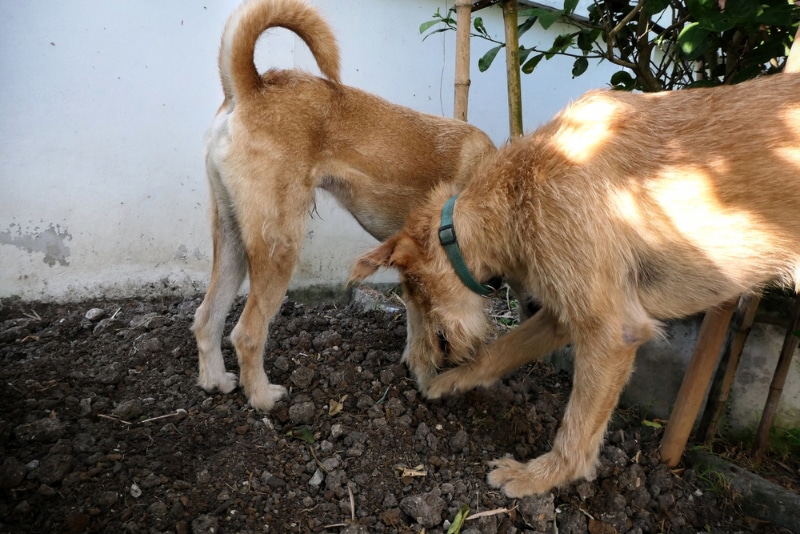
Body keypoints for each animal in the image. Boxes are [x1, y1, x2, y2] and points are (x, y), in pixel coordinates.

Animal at [192, 0, 494, 412]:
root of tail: (252, 87)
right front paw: (427, 375)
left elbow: (416, 323)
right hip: (279, 247)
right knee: (247, 333)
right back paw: (263, 396)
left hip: (233, 236)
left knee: (206, 317)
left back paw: (215, 380)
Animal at [352, 72, 800, 498]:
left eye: (414, 291)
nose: (416, 365)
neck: (521, 185)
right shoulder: (562, 310)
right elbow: (501, 350)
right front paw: (451, 382)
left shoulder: (612, 331)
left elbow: (579, 427)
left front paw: (540, 475)